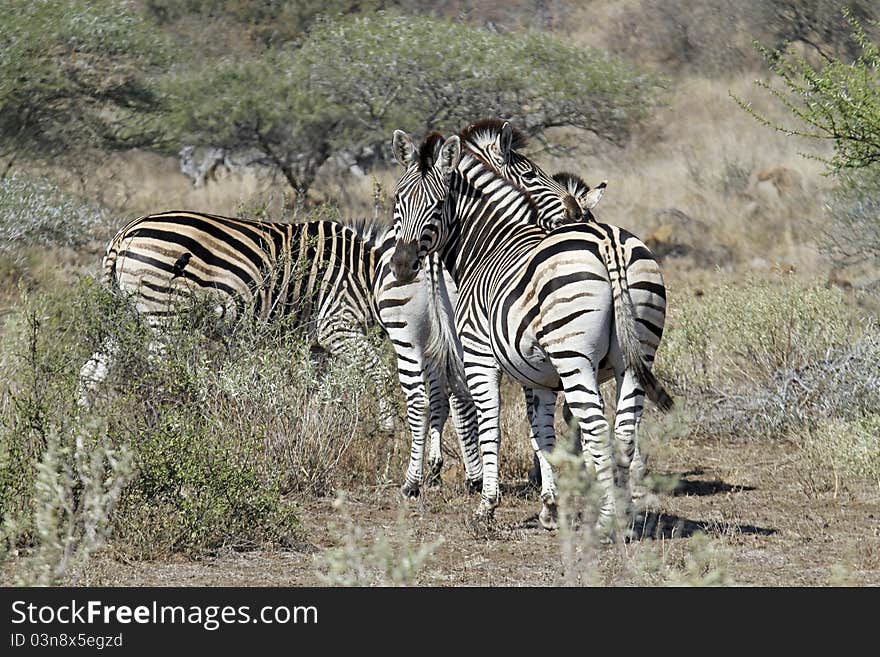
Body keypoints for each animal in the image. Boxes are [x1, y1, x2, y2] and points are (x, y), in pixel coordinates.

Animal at [76, 213, 484, 494]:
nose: (470, 482)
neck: (368, 279)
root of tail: (124, 234)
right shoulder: (337, 329)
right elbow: (377, 375)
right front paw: (385, 436)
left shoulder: (318, 346)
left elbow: (320, 395)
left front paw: (312, 438)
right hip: (162, 318)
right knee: (156, 383)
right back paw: (171, 439)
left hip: (124, 318)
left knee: (89, 375)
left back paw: (82, 451)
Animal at [388, 131, 672, 536]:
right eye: (398, 199)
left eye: (439, 205)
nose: (401, 265)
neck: (488, 244)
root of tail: (608, 243)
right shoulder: (537, 374)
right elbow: (542, 434)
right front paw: (550, 508)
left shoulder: (480, 356)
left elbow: (491, 425)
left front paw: (487, 505)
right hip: (635, 357)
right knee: (623, 434)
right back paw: (626, 518)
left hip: (574, 359)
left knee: (598, 430)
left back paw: (605, 523)